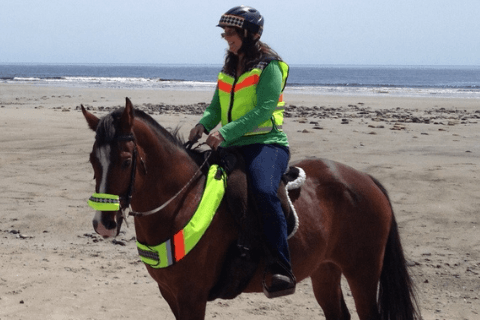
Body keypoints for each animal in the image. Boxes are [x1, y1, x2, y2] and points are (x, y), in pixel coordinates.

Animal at [82, 98, 420, 320]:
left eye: (126, 160)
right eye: (93, 160)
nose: (104, 224)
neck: (182, 201)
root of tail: (366, 179)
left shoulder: (192, 297)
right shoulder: (171, 294)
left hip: (362, 273)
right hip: (326, 270)